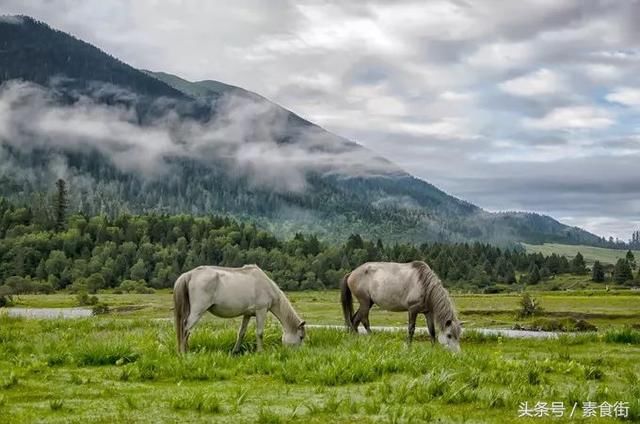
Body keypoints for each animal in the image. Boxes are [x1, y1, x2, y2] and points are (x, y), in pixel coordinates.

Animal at [174, 264, 306, 354]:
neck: (266, 285)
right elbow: (260, 333)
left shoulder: (247, 314)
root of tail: (190, 274)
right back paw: (184, 352)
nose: (298, 354)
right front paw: (260, 352)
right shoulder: (261, 311)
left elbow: (241, 333)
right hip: (197, 311)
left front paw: (235, 351)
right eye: (301, 337)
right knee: (186, 329)